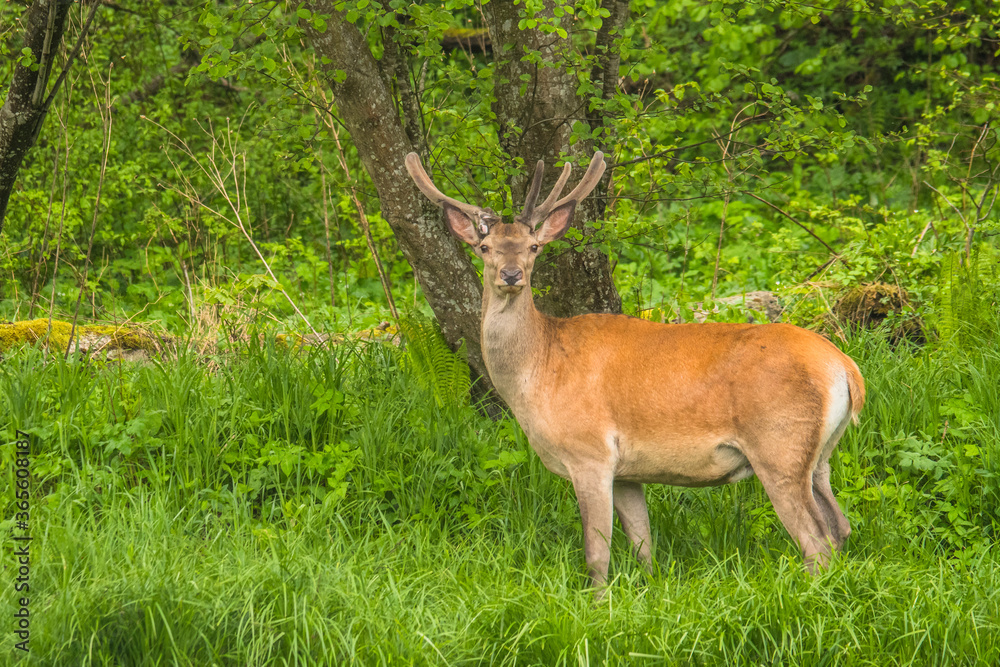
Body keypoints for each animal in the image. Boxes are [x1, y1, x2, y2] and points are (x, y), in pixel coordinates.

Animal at [405, 150, 866, 595]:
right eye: (485, 247)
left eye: (533, 246)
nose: (511, 274)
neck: (539, 371)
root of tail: (845, 369)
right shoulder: (628, 472)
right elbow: (644, 545)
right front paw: (649, 591)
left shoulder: (589, 452)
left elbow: (597, 552)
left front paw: (597, 605)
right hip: (820, 454)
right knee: (841, 526)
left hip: (778, 444)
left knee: (816, 539)